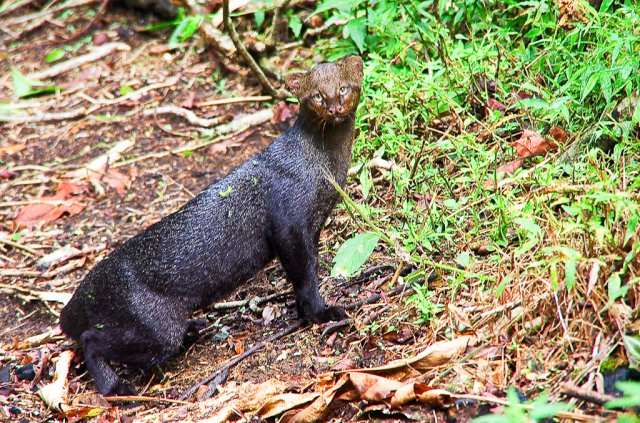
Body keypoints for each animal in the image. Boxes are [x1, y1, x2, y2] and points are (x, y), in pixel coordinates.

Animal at [60, 54, 364, 396]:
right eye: (317, 96)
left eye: (343, 88)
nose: (334, 107)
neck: (325, 166)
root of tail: (83, 291)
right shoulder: (290, 224)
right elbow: (305, 277)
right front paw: (322, 313)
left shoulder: (313, 226)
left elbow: (304, 276)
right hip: (156, 331)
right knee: (89, 340)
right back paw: (116, 387)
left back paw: (195, 327)